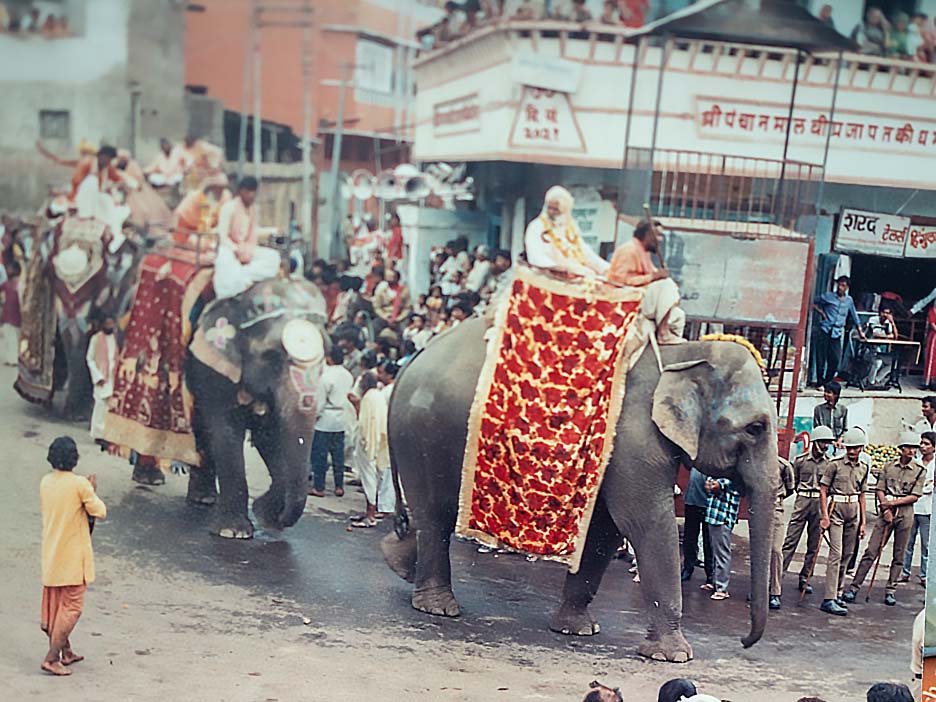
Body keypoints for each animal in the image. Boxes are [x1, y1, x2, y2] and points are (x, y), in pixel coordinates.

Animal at [181, 280, 330, 540]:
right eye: (272, 358)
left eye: (324, 362)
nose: (279, 521)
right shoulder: (213, 368)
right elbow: (227, 432)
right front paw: (233, 532)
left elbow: (270, 439)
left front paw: (265, 516)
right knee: (202, 427)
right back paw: (199, 497)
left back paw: (206, 498)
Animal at [384, 320, 780, 664]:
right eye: (756, 428)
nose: (744, 642)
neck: (683, 351)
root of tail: (416, 358)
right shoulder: (631, 440)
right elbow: (645, 523)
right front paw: (674, 656)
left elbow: (604, 530)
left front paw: (577, 630)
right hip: (425, 434)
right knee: (435, 515)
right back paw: (438, 607)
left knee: (428, 515)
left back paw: (398, 562)